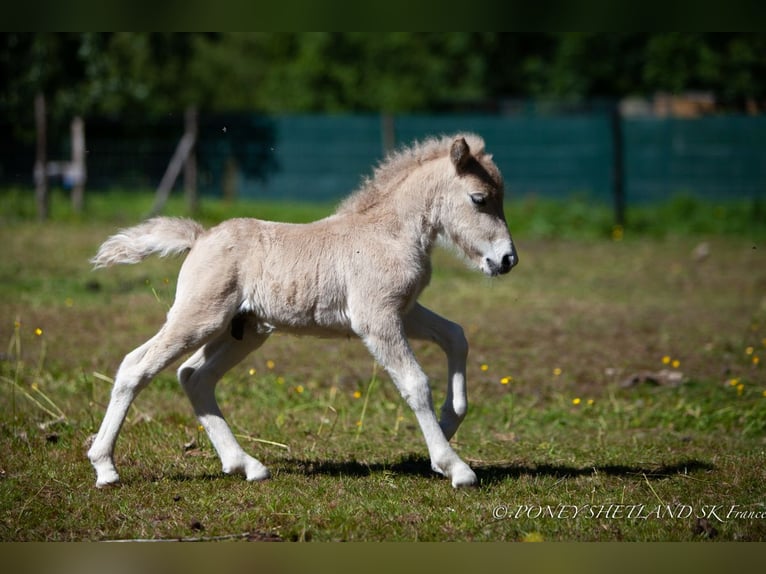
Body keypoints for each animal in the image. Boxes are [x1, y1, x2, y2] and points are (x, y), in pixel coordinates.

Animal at [88, 135, 520, 490]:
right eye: (479, 198)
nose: (507, 260)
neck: (389, 232)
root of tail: (201, 237)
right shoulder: (376, 317)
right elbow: (415, 383)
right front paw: (454, 466)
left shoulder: (402, 310)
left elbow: (456, 335)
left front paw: (449, 422)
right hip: (198, 318)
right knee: (136, 367)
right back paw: (105, 467)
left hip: (243, 330)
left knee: (195, 376)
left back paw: (245, 465)